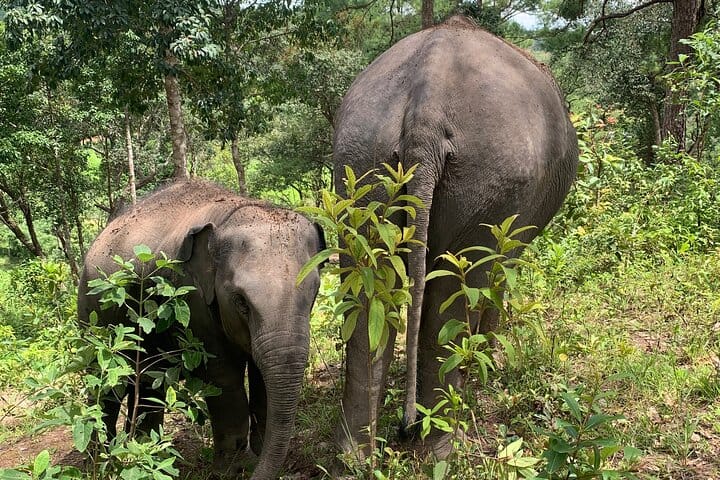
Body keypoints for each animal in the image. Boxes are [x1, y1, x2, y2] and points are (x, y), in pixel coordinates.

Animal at [78, 179, 325, 479]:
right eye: (240, 301)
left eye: (314, 291)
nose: (255, 468)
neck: (231, 214)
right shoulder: (191, 296)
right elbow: (223, 377)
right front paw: (234, 469)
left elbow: (262, 376)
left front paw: (255, 455)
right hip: (94, 315)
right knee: (108, 385)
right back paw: (104, 460)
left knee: (148, 384)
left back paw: (145, 451)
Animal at [332, 16, 579, 456]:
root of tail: (426, 107)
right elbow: (498, 278)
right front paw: (489, 364)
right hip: (491, 178)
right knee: (454, 291)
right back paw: (442, 448)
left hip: (359, 160)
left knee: (369, 290)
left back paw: (355, 456)